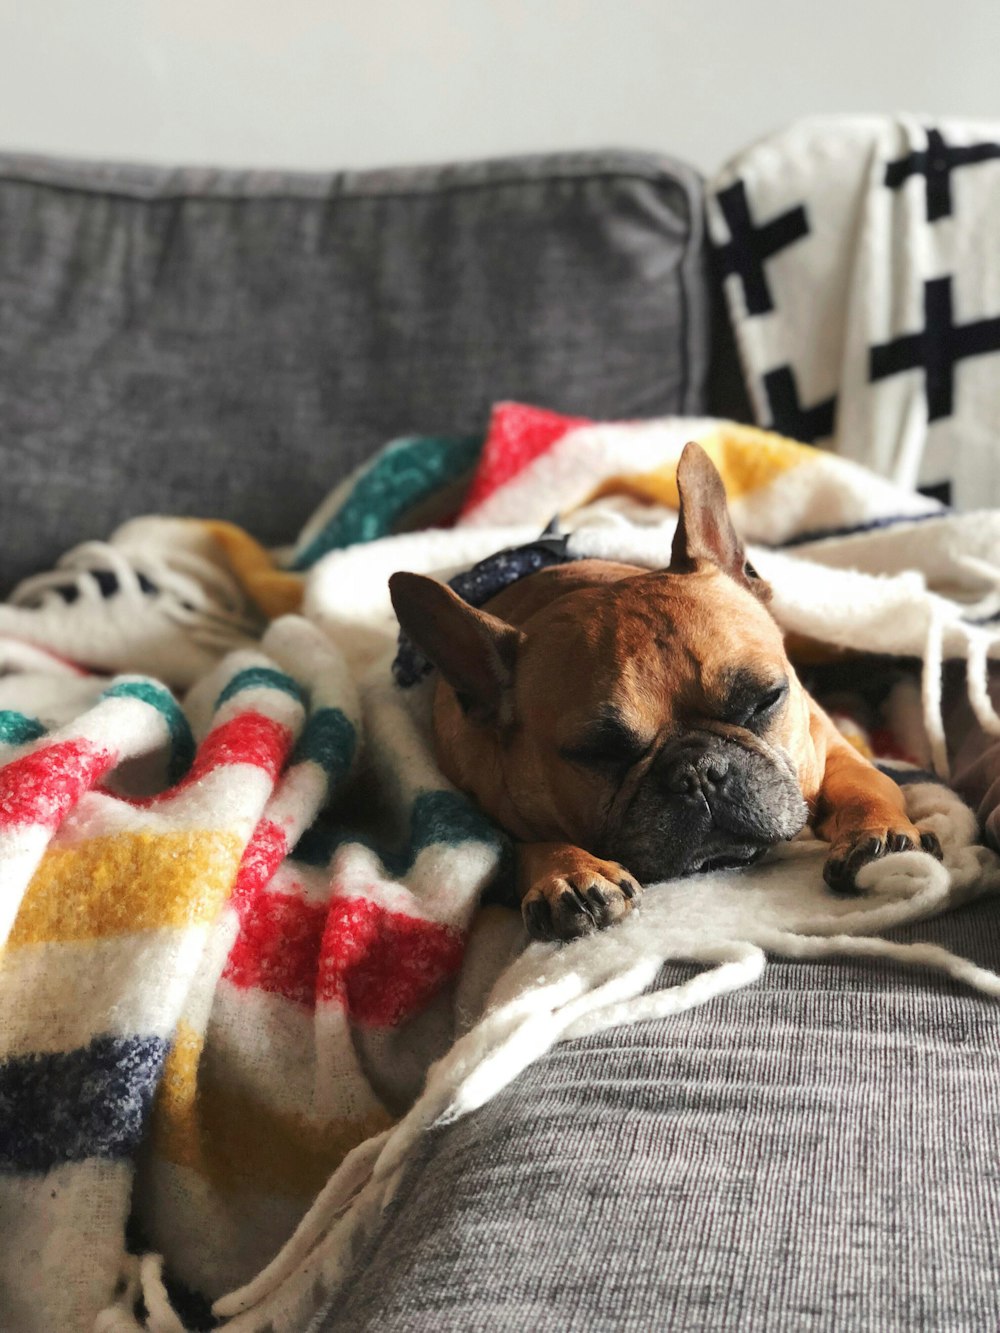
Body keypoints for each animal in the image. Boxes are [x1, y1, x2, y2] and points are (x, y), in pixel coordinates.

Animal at [386, 442, 944, 943]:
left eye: (765, 700)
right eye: (599, 752)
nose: (699, 771)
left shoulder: (826, 746)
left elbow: (867, 786)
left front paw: (877, 833)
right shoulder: (481, 814)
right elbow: (520, 845)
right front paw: (568, 872)